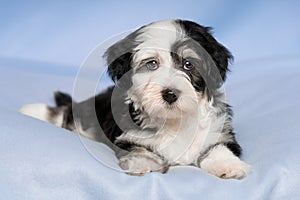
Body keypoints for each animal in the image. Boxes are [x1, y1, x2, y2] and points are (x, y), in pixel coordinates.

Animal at [20, 18, 251, 178]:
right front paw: (144, 162)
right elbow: (139, 148)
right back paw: (32, 110)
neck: (173, 121)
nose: (170, 94)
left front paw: (229, 165)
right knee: (68, 112)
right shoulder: (129, 135)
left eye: (188, 64)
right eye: (152, 64)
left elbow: (219, 147)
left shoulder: (218, 130)